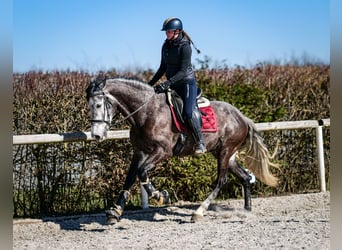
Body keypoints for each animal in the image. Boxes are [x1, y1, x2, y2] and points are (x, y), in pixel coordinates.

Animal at [85, 77, 278, 224]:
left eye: (99, 105)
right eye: (89, 106)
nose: (96, 135)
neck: (146, 112)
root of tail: (242, 117)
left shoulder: (162, 151)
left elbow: (141, 172)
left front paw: (160, 196)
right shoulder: (139, 152)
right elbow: (130, 177)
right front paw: (115, 211)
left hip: (225, 151)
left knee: (221, 181)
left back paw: (198, 212)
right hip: (226, 154)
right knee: (245, 177)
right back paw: (246, 210)